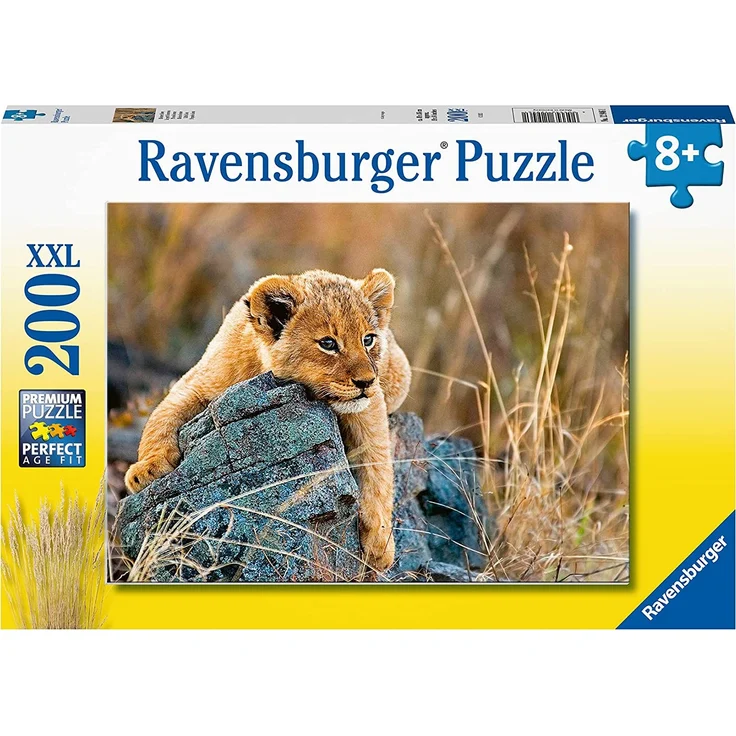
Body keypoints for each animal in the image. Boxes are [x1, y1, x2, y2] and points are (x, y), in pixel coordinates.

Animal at [124, 268, 412, 571]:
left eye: (368, 339)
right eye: (328, 343)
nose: (366, 381)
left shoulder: (369, 407)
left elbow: (378, 466)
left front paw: (380, 544)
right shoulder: (197, 382)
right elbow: (161, 417)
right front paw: (146, 470)